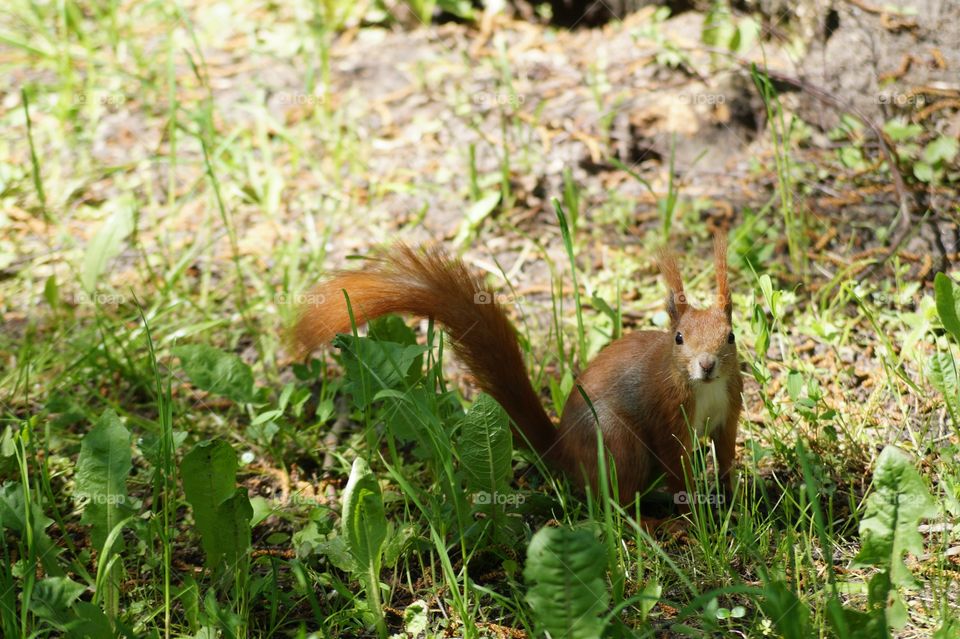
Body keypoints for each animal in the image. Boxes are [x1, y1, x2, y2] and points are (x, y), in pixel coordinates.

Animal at [293, 233, 742, 511]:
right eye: (679, 338)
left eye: (732, 336)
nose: (706, 365)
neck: (706, 390)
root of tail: (561, 450)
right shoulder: (668, 414)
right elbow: (676, 467)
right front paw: (692, 516)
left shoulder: (729, 411)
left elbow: (725, 454)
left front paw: (732, 495)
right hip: (616, 442)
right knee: (613, 503)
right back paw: (650, 523)